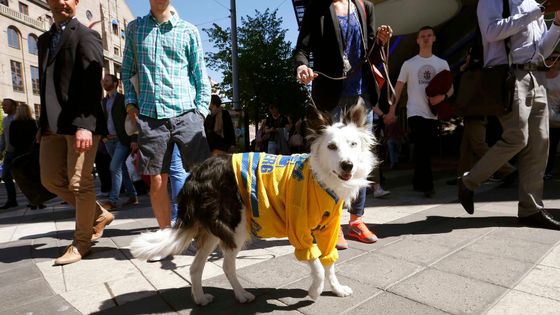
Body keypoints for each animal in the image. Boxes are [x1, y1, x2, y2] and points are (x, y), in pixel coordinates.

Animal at [131, 103, 376, 306]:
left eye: (353, 144)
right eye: (331, 146)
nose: (347, 165)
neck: (320, 179)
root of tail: (196, 173)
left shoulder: (328, 231)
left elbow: (329, 262)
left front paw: (336, 289)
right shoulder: (299, 231)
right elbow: (316, 264)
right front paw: (315, 291)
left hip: (213, 231)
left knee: (195, 267)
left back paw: (200, 298)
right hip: (235, 227)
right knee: (226, 266)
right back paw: (241, 295)